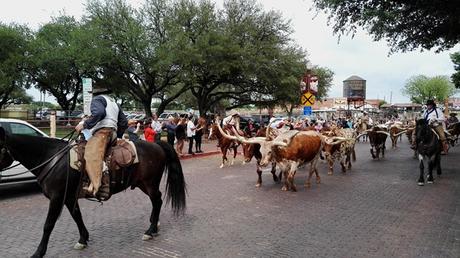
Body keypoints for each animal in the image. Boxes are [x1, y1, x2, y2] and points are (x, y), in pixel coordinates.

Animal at [0, 128, 187, 256]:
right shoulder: (69, 198)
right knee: (157, 201)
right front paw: (83, 239)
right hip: (143, 184)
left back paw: (150, 230)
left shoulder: (57, 198)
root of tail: (156, 144)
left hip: (149, 184)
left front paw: (39, 252)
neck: (52, 159)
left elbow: (48, 225)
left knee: (157, 201)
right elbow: (77, 216)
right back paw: (153, 226)